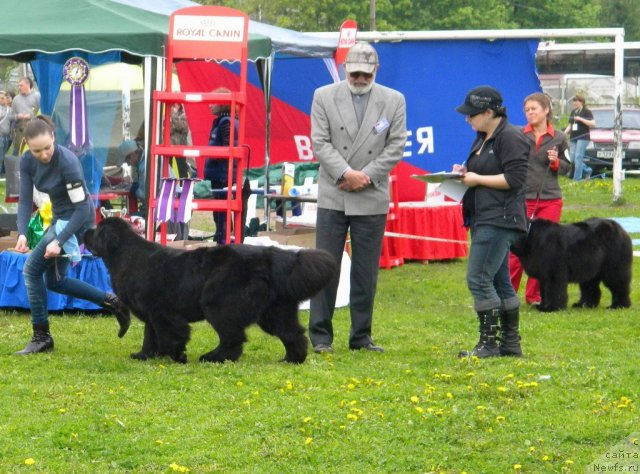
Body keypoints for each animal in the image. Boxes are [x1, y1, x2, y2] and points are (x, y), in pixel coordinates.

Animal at [84, 217, 340, 364]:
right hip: (274, 311)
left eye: (97, 230)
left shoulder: (163, 313)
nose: (85, 231)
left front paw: (177, 355)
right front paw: (144, 355)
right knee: (293, 333)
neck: (124, 256)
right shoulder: (151, 314)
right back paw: (291, 359)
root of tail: (271, 256)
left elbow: (171, 336)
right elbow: (150, 336)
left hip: (218, 304)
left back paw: (213, 357)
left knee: (233, 338)